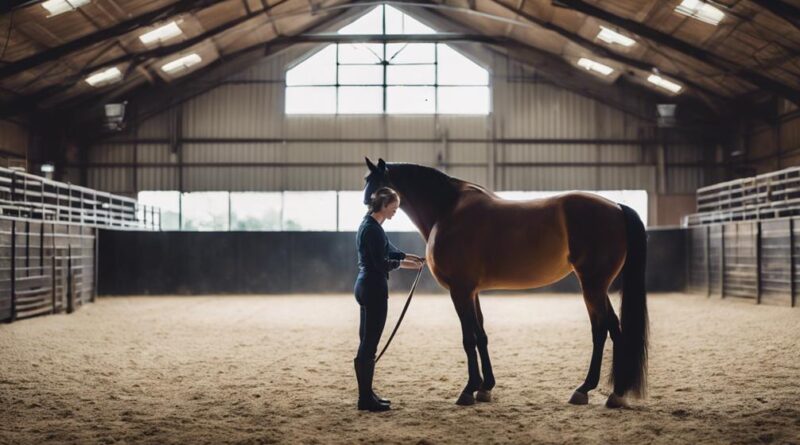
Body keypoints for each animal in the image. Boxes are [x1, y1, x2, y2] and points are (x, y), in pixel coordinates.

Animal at [364, 158, 648, 408]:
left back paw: (612, 393)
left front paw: (468, 390)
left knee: (609, 328)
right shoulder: (471, 291)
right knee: (604, 330)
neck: (447, 210)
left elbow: (468, 339)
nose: (368, 204)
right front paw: (485, 387)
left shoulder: (460, 291)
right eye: (366, 181)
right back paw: (590, 390)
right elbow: (481, 335)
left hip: (593, 285)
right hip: (595, 286)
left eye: (379, 183)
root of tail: (616, 207)